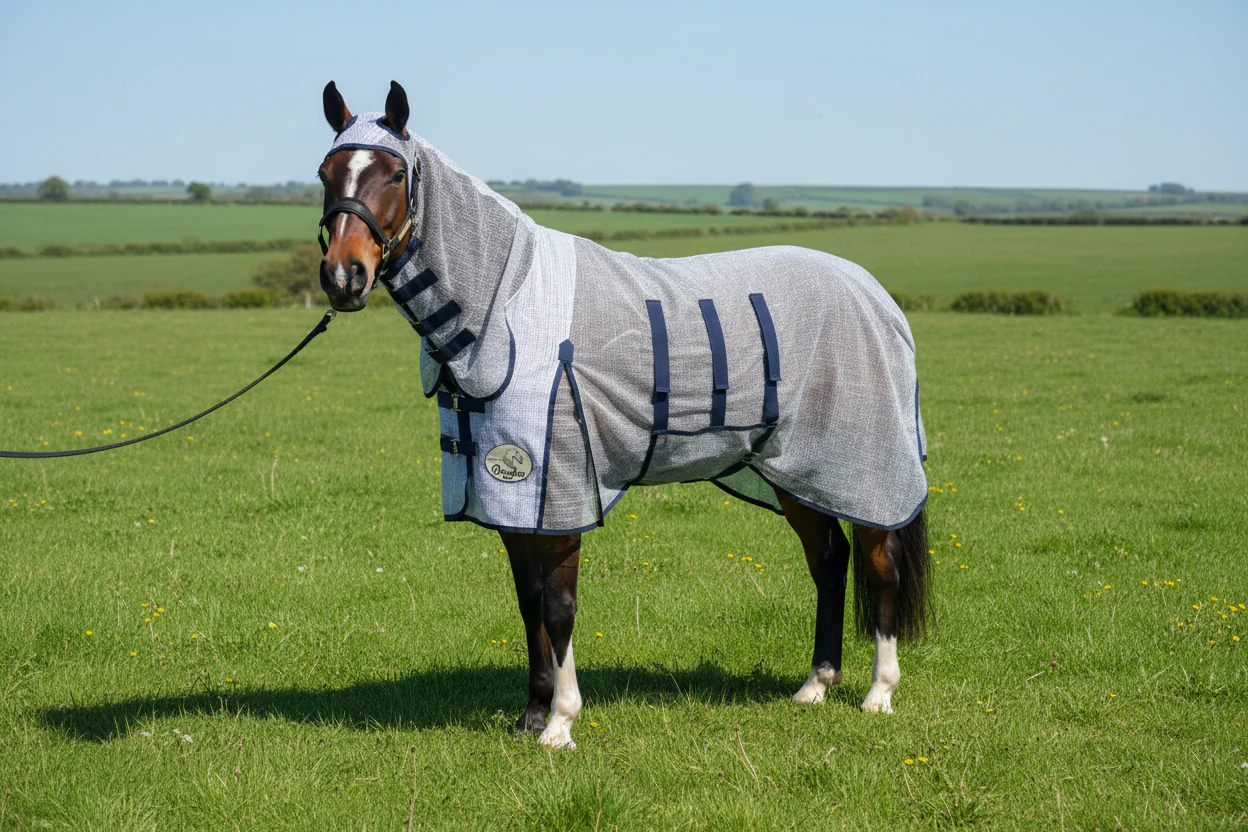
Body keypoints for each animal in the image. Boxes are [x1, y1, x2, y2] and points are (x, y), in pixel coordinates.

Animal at [315, 80, 932, 750]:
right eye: (325, 173)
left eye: (396, 173)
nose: (343, 276)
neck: (506, 307)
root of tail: (875, 295)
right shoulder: (511, 499)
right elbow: (528, 603)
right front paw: (531, 715)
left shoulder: (557, 494)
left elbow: (559, 606)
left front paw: (561, 723)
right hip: (794, 470)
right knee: (829, 561)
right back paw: (816, 684)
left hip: (859, 467)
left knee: (880, 563)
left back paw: (878, 693)